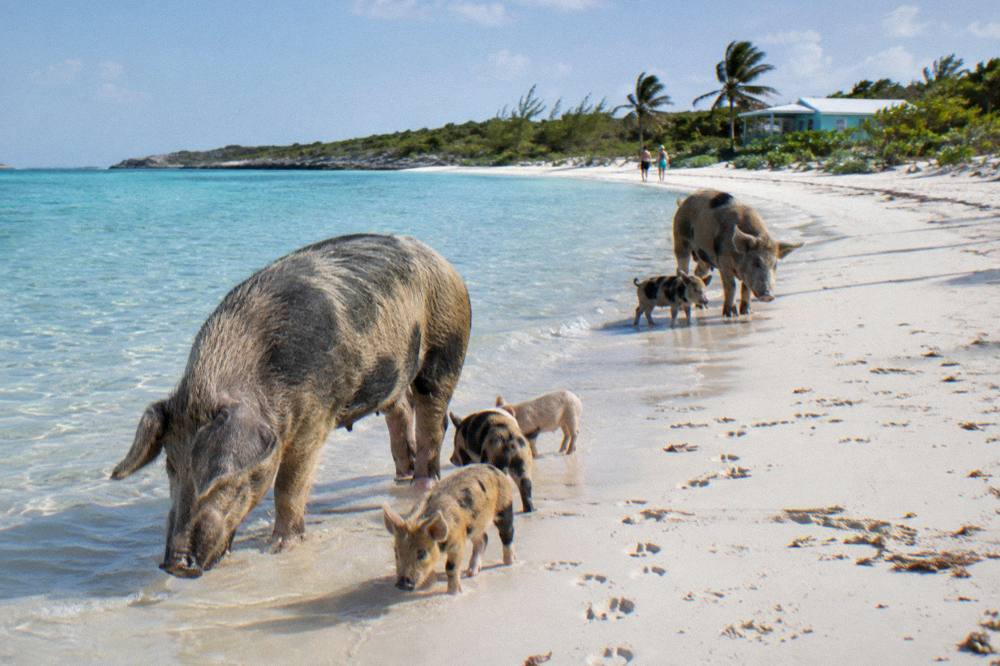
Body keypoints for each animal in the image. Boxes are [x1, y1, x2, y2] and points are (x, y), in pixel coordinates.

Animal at [111, 233, 471, 578]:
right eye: (171, 466)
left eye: (225, 479)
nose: (175, 564)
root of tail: (445, 264)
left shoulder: (314, 417)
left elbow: (288, 484)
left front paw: (278, 547)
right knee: (400, 411)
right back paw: (401, 475)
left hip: (446, 348)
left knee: (433, 420)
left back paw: (421, 485)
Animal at [382, 464, 515, 595]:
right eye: (396, 552)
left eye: (421, 553)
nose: (402, 584)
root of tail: (497, 470)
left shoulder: (458, 541)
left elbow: (450, 567)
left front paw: (454, 593)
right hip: (475, 526)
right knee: (483, 538)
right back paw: (471, 573)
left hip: (504, 507)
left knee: (507, 533)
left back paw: (509, 562)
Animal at [673, 190, 802, 317]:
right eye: (756, 262)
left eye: (775, 265)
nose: (768, 295)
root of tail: (683, 202)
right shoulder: (723, 263)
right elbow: (731, 286)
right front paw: (730, 314)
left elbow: (745, 288)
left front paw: (747, 312)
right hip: (680, 241)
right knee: (681, 268)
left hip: (704, 257)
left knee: (698, 272)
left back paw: (702, 307)